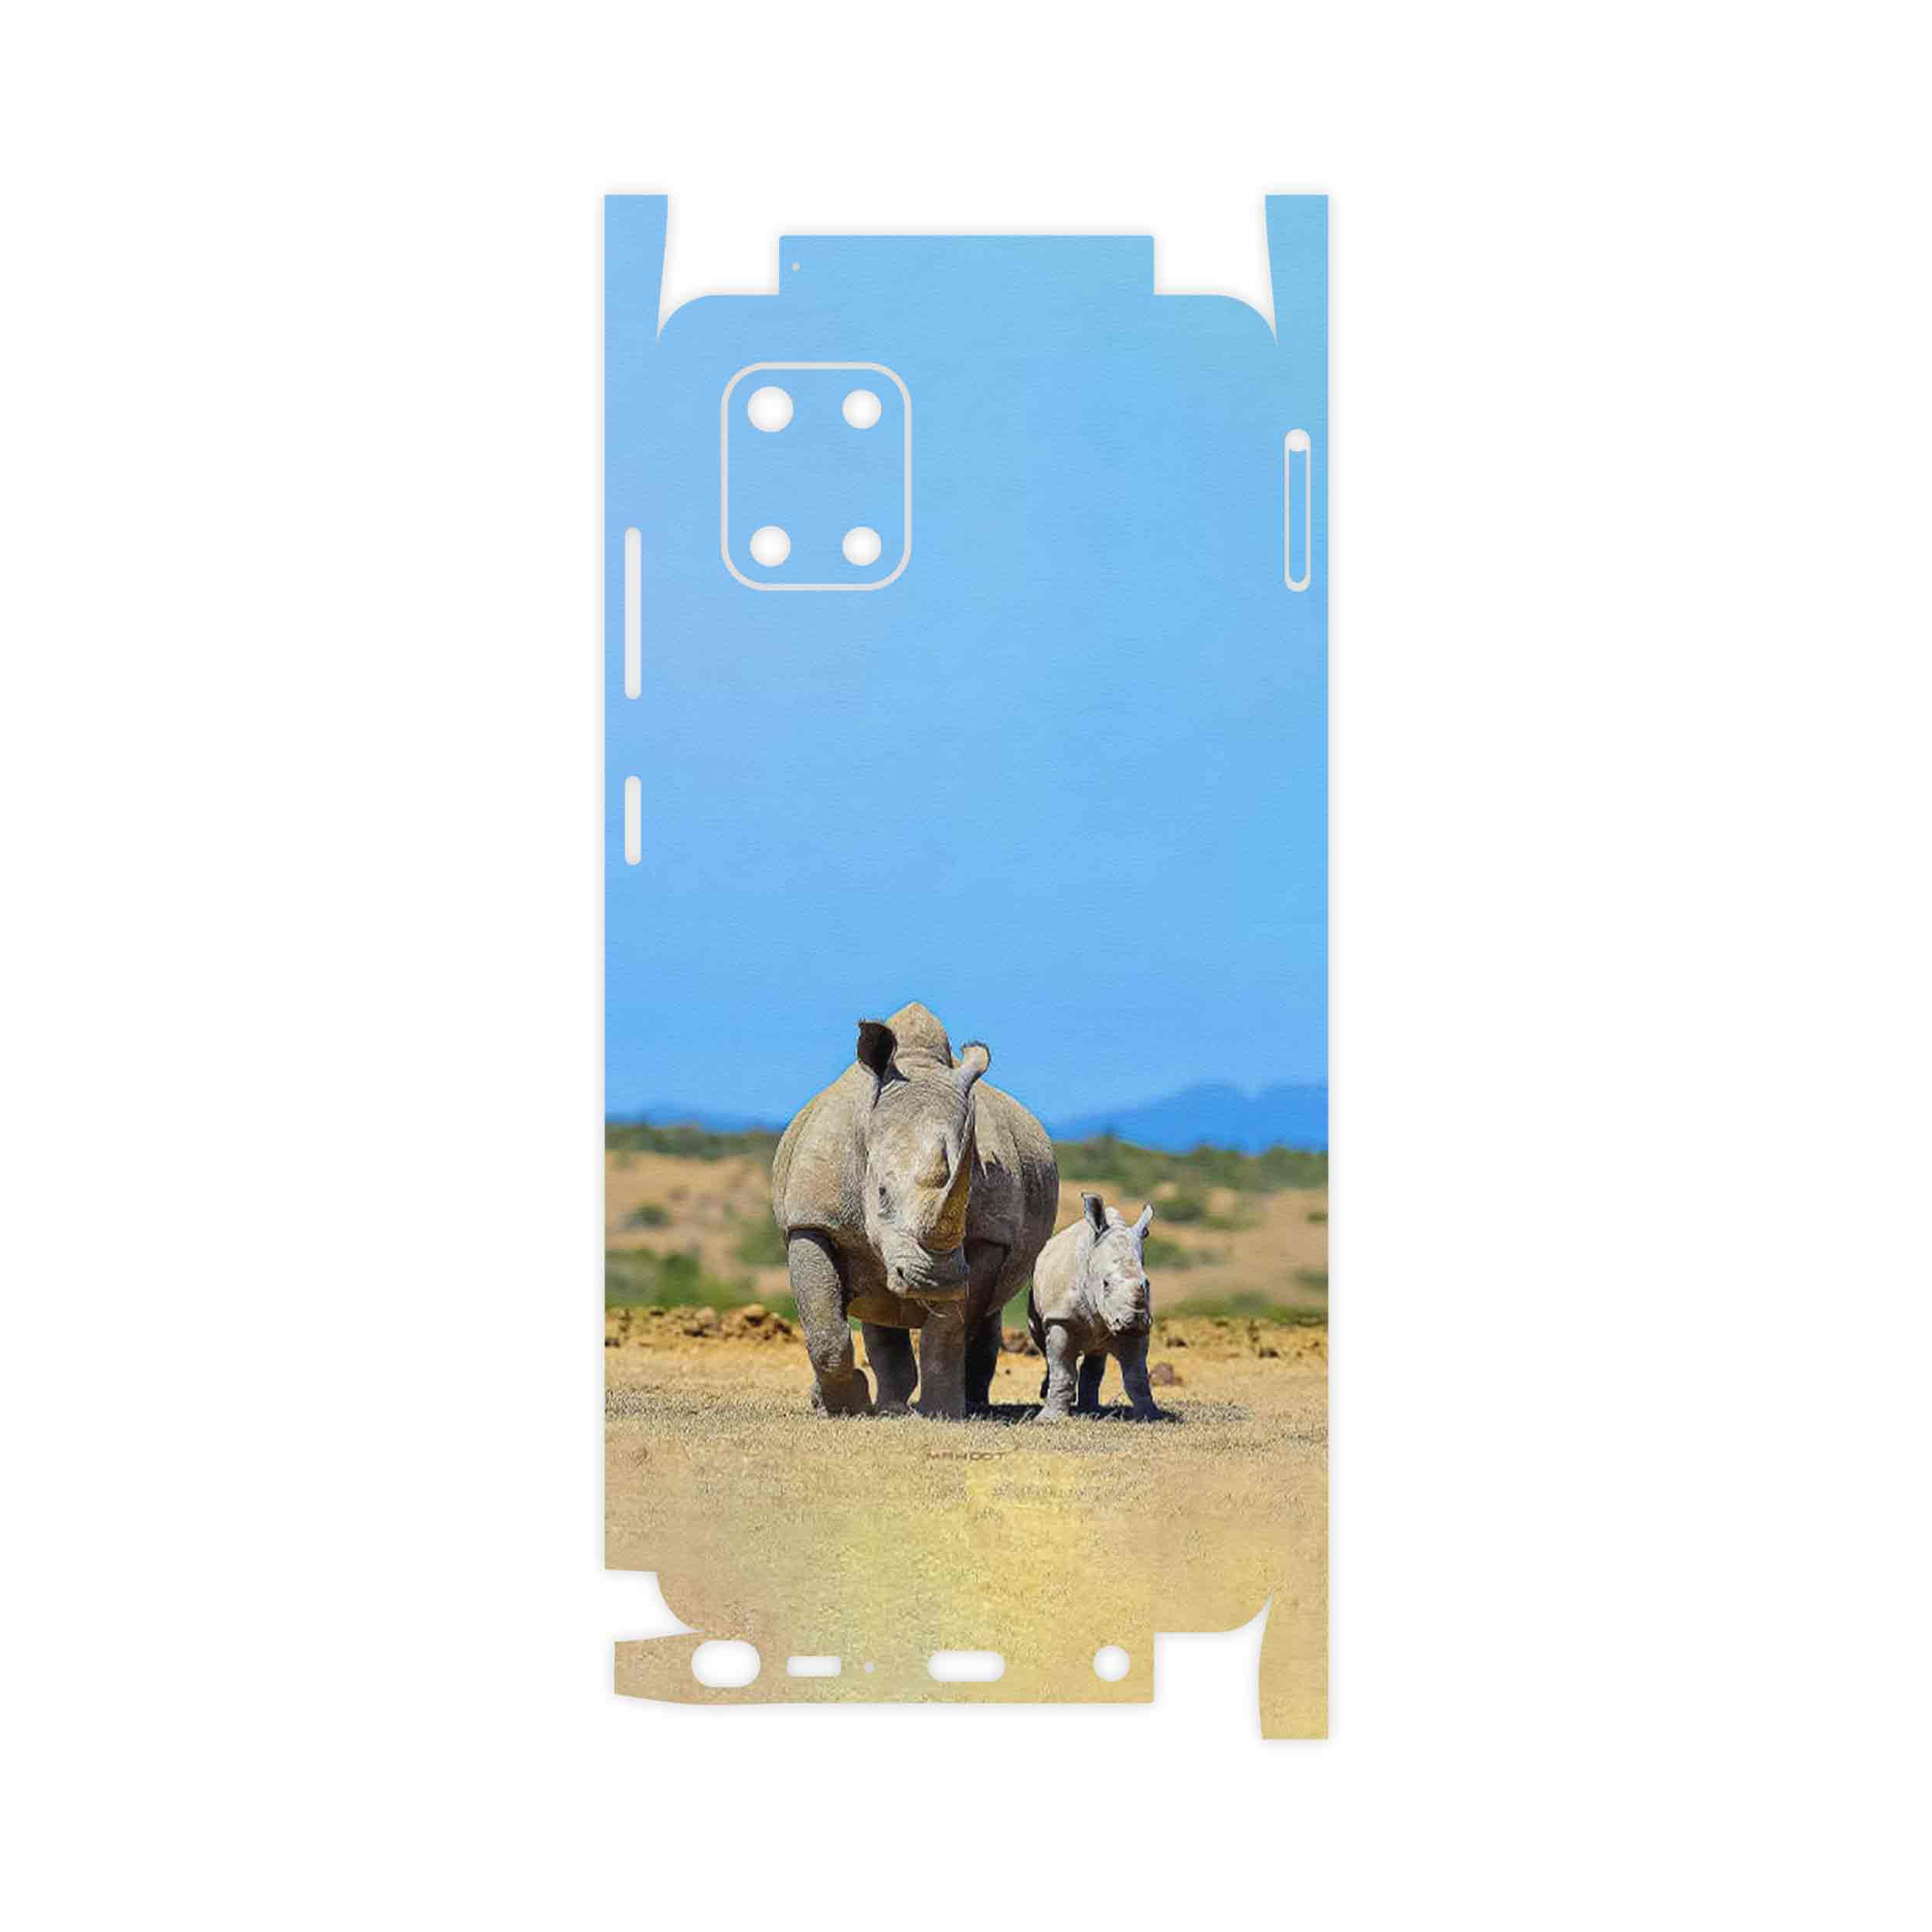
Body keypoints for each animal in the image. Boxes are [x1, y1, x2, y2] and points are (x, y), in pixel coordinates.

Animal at [770, 1002, 1059, 1418]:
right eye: (881, 1193)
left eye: (968, 1197)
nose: (933, 1280)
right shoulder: (812, 1220)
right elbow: (824, 1326)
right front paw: (845, 1405)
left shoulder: (988, 1237)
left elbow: (949, 1330)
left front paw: (942, 1411)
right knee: (877, 1306)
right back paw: (884, 1406)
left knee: (983, 1315)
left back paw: (968, 1404)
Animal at [1027, 1193, 1163, 1420]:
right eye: (1105, 1284)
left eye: (1147, 1283)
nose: (1133, 1321)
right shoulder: (1060, 1318)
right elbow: (1062, 1371)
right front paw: (1048, 1420)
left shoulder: (1140, 1328)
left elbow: (1137, 1377)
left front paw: (1151, 1416)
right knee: (1044, 1346)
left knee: (1096, 1354)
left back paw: (1090, 1410)